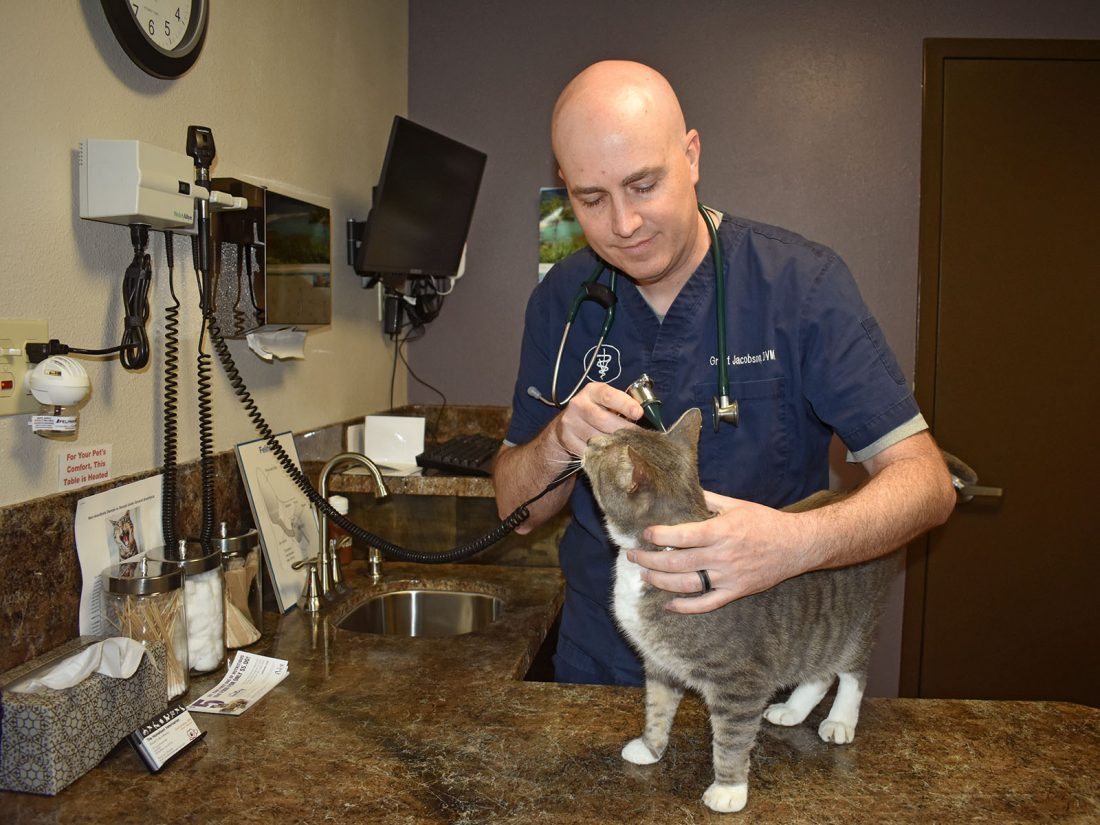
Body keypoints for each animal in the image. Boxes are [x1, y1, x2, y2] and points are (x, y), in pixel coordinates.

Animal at [585, 407, 893, 814]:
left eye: (603, 447)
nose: (589, 439)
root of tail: (849, 492)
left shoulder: (741, 681)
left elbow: (732, 736)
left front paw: (728, 789)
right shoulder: (660, 663)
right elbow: (657, 706)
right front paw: (650, 748)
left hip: (855, 623)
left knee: (852, 672)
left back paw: (840, 719)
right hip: (816, 631)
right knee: (819, 670)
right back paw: (792, 710)